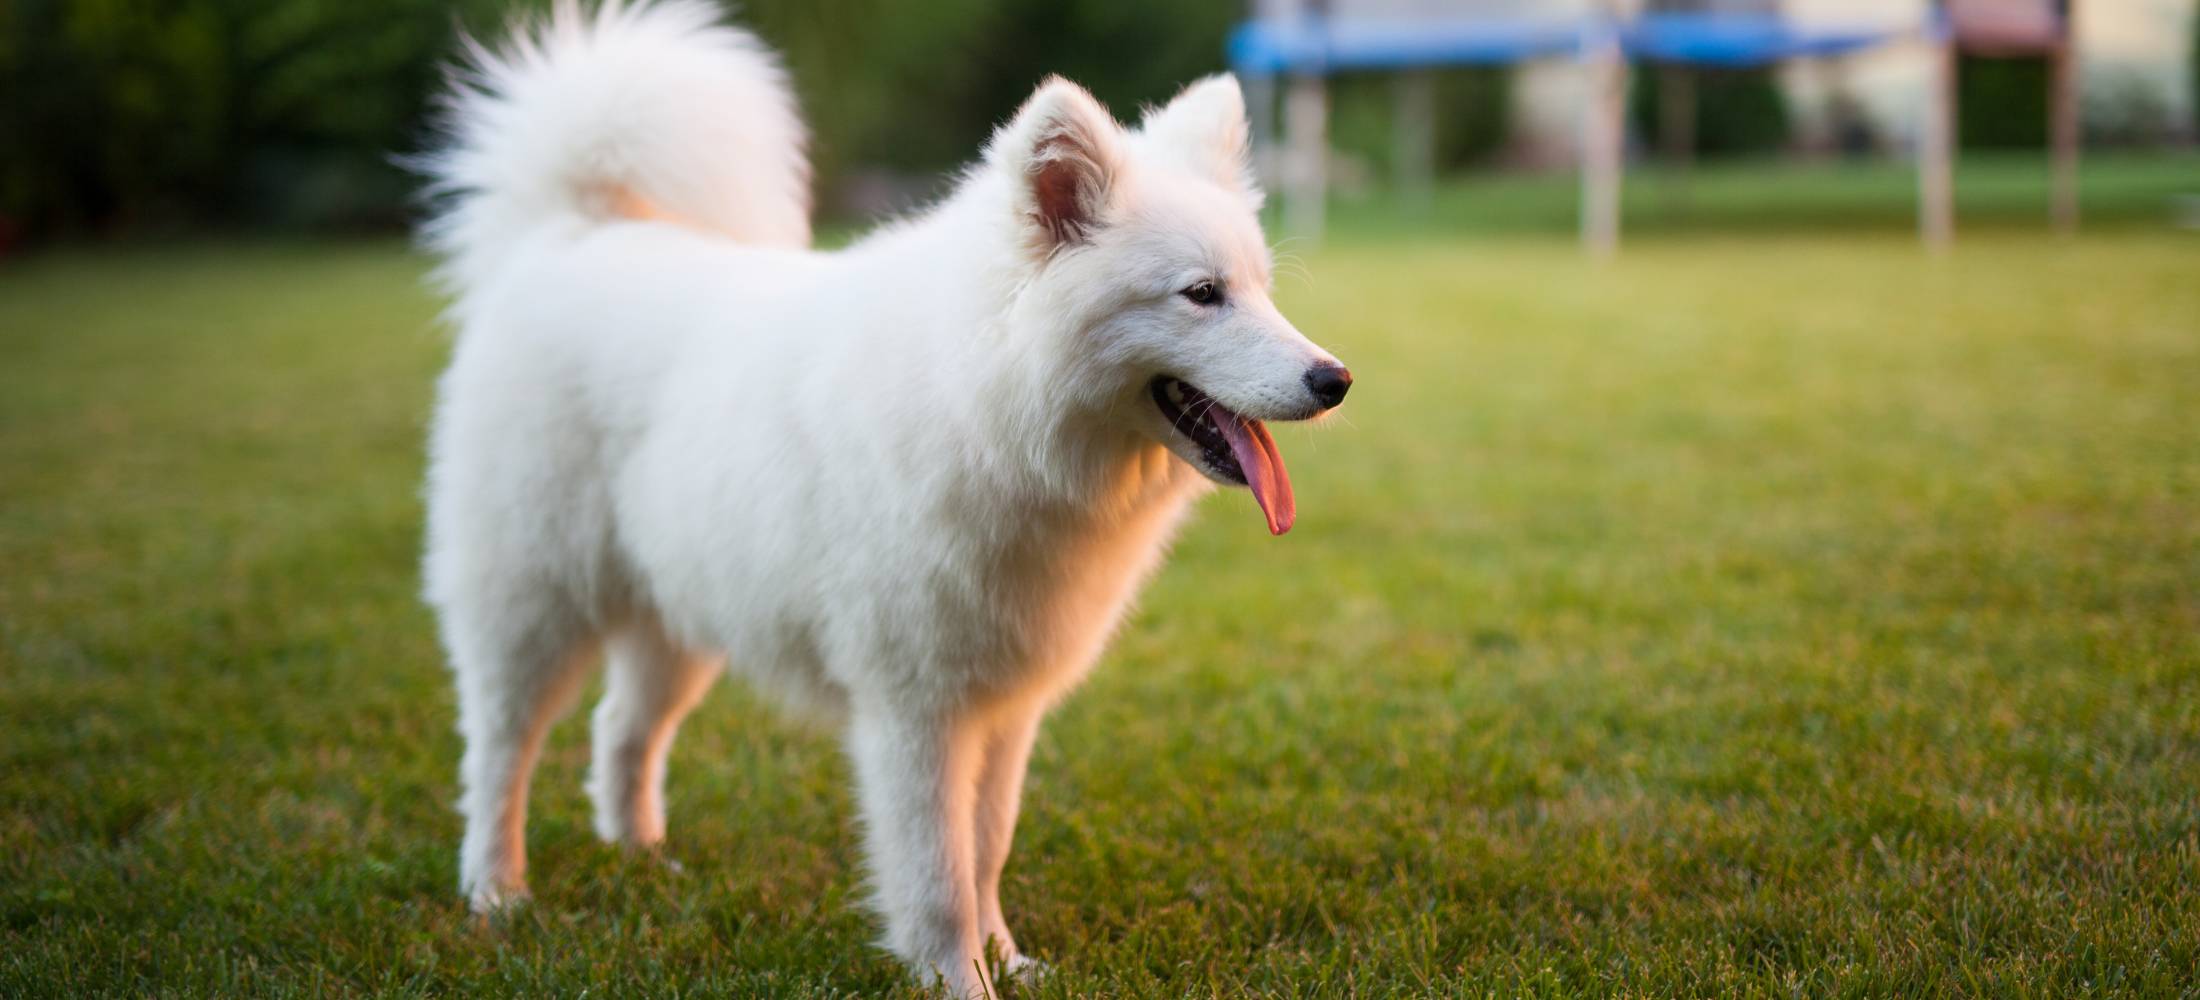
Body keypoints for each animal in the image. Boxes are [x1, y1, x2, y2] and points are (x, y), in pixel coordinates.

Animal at [413, 0, 1337, 993]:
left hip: (679, 617)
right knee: (498, 755)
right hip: (530, 608)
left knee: (621, 729)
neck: (986, 408)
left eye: (1260, 289)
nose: (1335, 380)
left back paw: (642, 861)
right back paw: (498, 896)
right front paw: (959, 980)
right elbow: (936, 875)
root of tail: (570, 232)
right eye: (1202, 294)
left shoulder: (1004, 706)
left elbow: (986, 849)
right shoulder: (914, 710)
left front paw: (1009, 963)